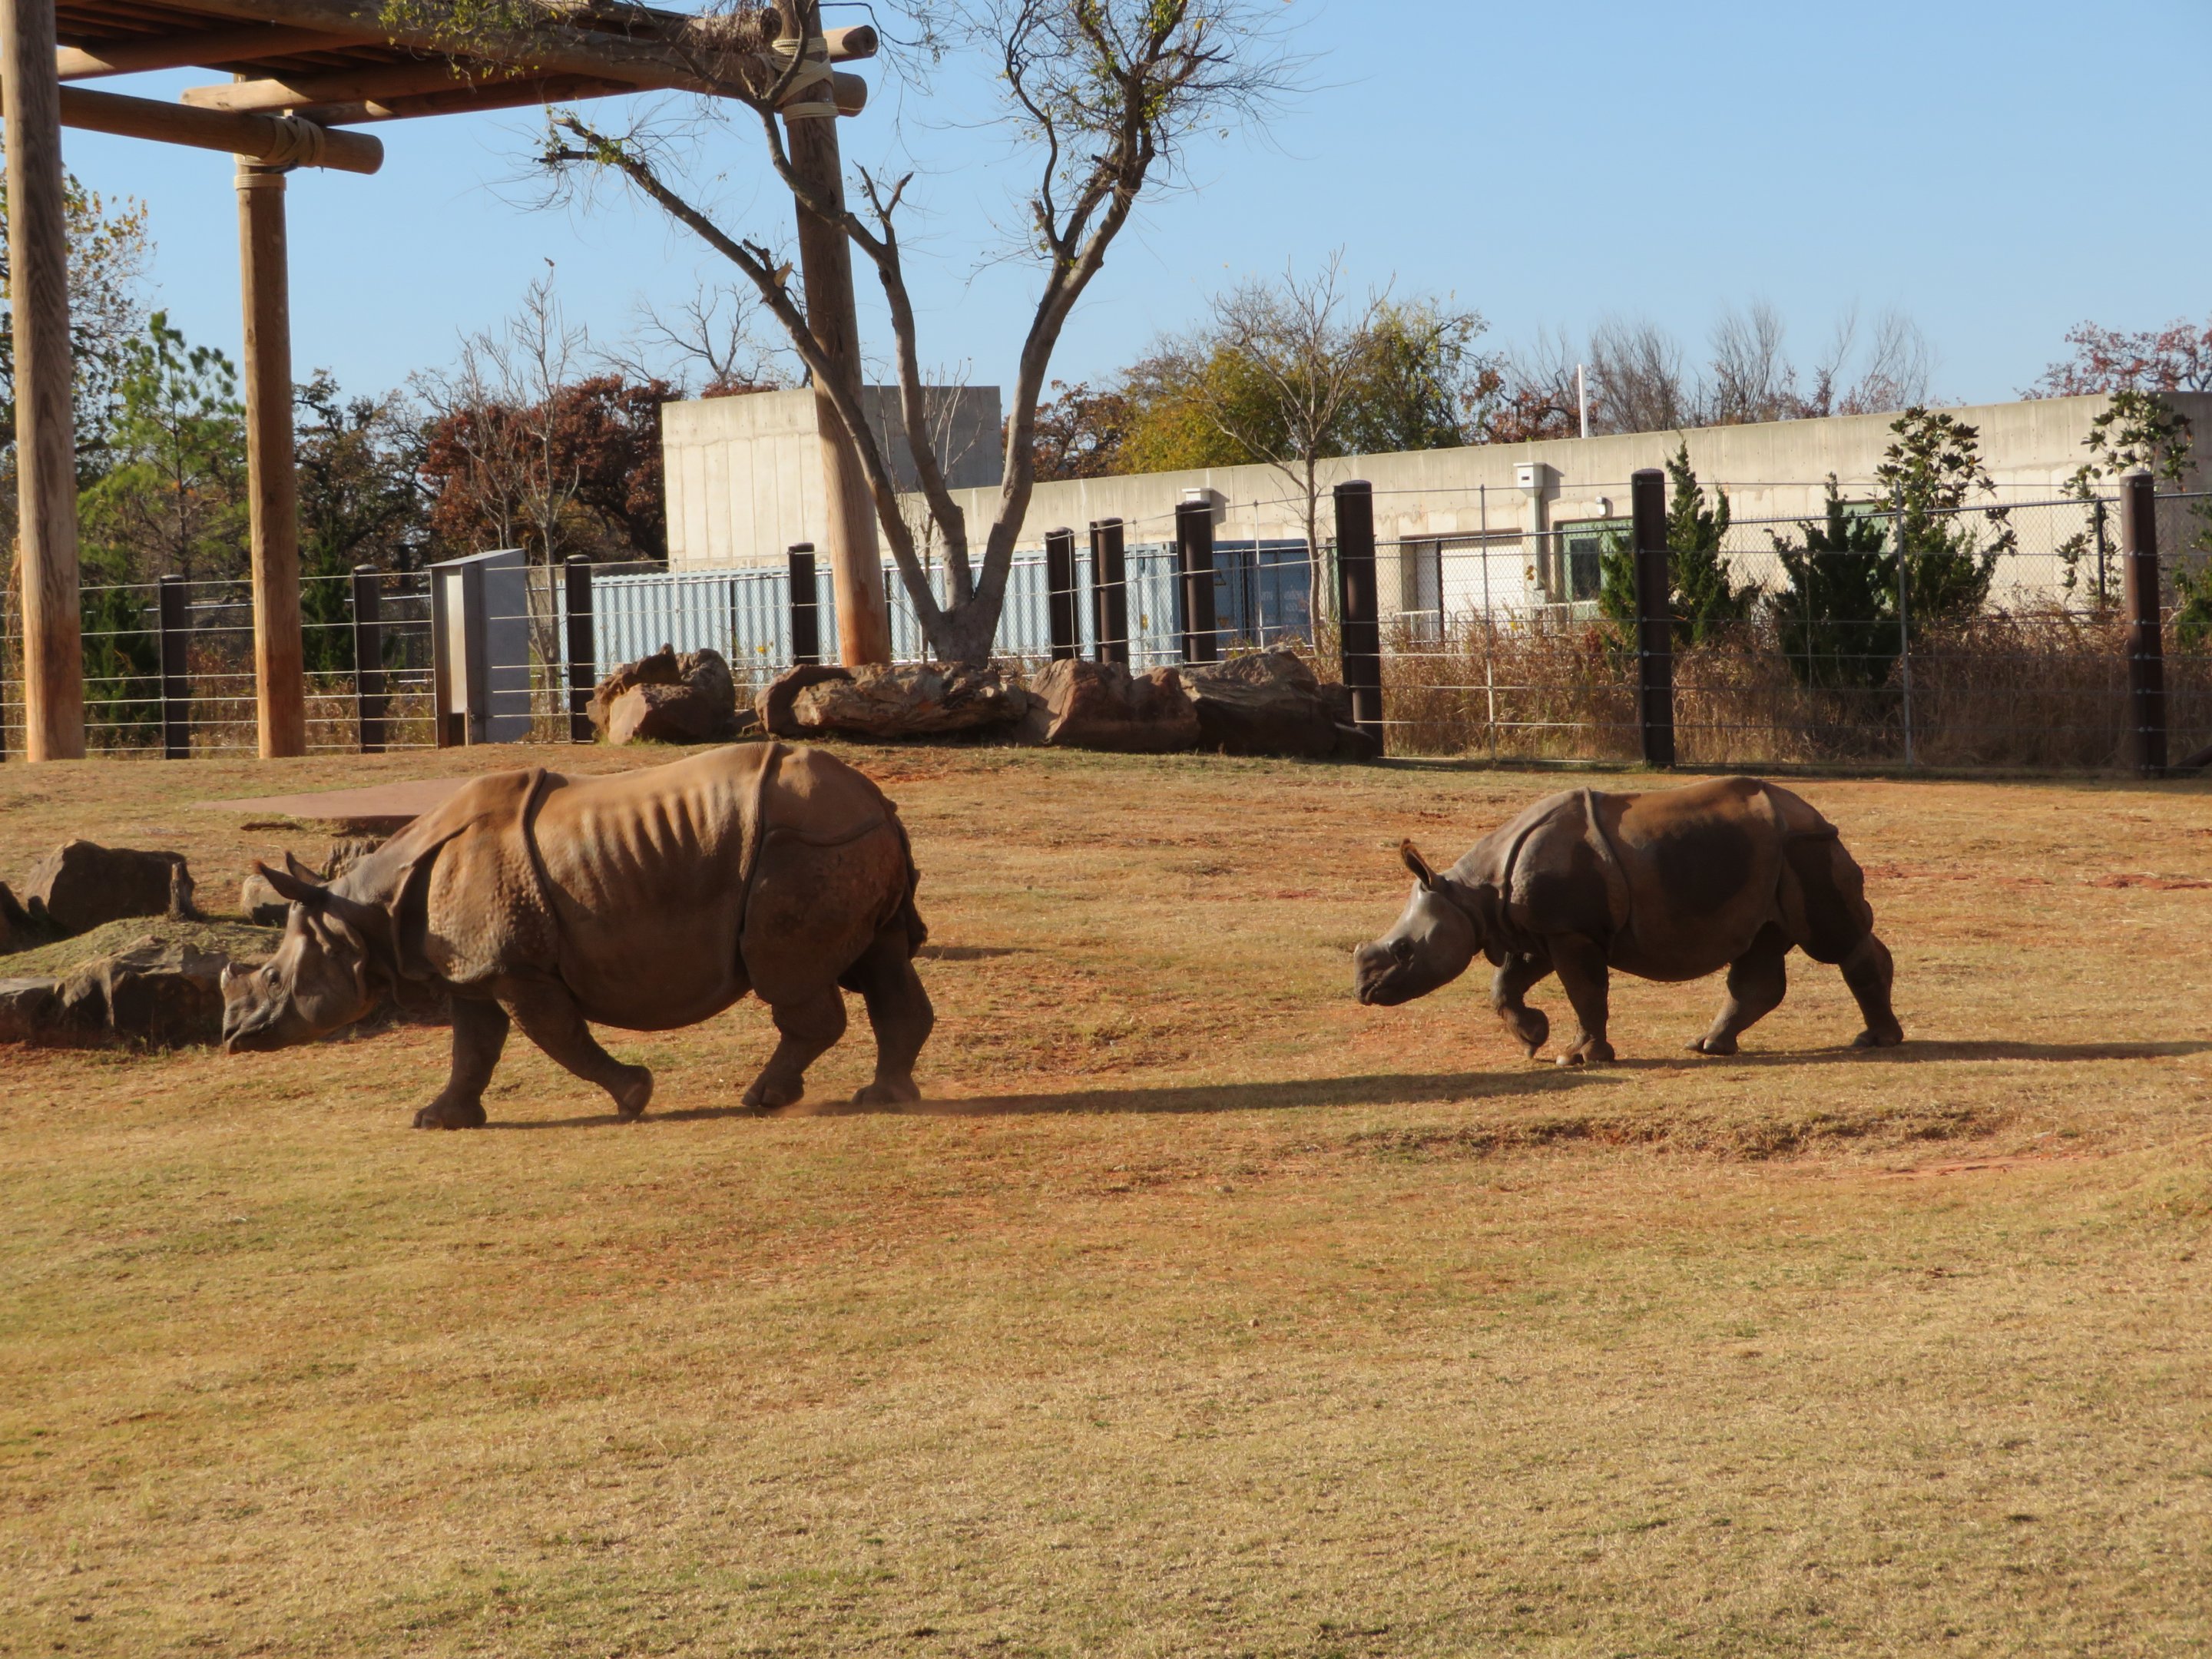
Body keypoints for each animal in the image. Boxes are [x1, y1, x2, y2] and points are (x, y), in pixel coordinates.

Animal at [221, 743, 933, 1126]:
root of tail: (877, 799)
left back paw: (762, 1099)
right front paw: (437, 1120)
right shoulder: (476, 970)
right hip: (841, 838)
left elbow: (557, 1036)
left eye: (276, 978)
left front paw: (635, 1096)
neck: (364, 913)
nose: (232, 1038)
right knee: (884, 962)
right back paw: (885, 1098)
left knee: (789, 976)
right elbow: (473, 1048)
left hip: (801, 847)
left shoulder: (514, 967)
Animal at [1353, 777, 1902, 1063]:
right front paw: (1532, 1038)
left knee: (1833, 941)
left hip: (1806, 846)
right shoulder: (1541, 929)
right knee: (1762, 944)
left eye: (1404, 950)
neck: (1471, 894)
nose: (1363, 991)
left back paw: (1876, 1043)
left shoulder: (1571, 931)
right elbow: (1505, 984)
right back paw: (1708, 1047)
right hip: (1775, 856)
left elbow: (1586, 992)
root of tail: (1815, 812)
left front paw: (1576, 1057)